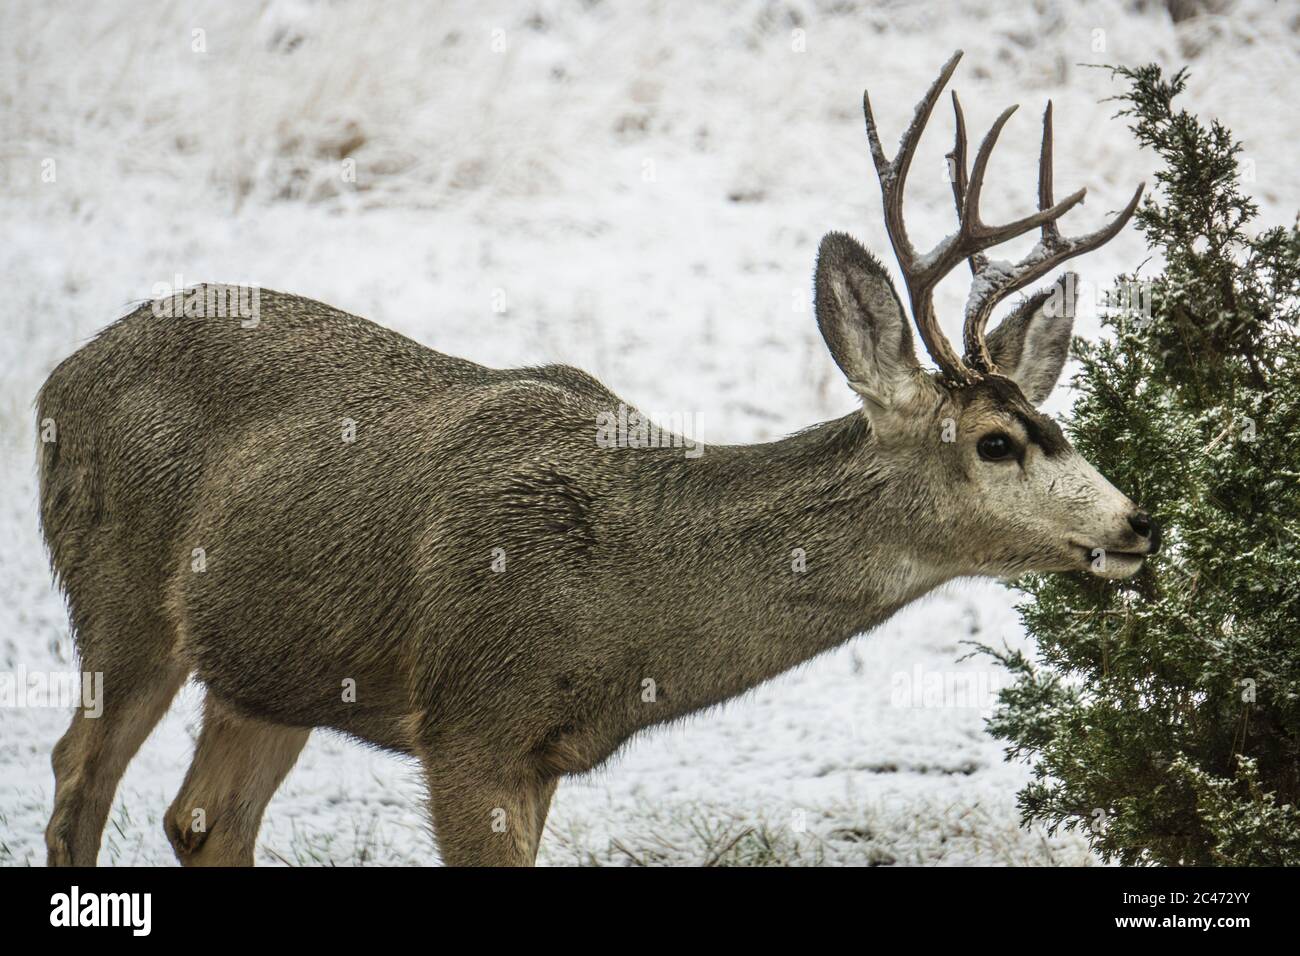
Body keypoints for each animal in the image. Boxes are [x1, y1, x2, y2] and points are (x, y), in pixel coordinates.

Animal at [38, 50, 1157, 867]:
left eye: (1057, 426)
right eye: (996, 442)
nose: (1136, 522)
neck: (628, 594)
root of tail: (60, 377)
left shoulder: (540, 755)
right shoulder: (472, 722)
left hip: (269, 663)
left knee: (201, 818)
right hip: (118, 595)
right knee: (78, 777)